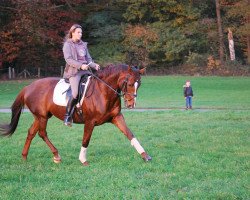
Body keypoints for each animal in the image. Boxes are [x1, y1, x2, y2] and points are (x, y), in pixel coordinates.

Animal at [0, 64, 151, 166]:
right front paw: (83, 160)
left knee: (31, 132)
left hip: (41, 116)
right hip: (42, 117)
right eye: (130, 84)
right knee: (42, 133)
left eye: (139, 84)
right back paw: (56, 156)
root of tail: (28, 87)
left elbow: (130, 134)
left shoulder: (116, 118)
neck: (103, 92)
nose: (131, 105)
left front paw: (145, 155)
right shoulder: (90, 121)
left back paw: (24, 157)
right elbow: (86, 140)